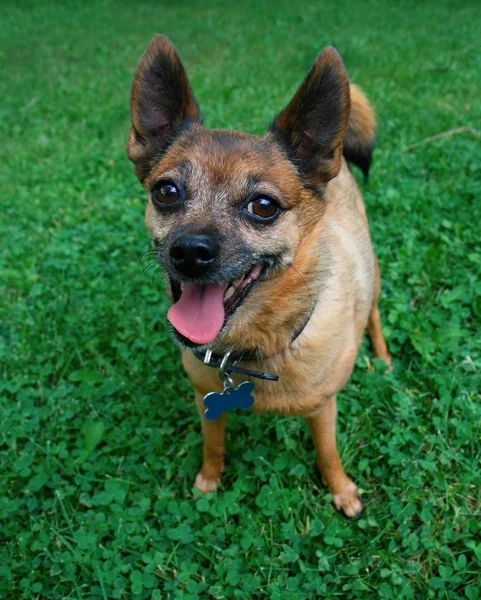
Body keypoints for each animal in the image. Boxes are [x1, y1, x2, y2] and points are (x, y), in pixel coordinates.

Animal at [126, 35, 390, 516]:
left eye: (263, 206)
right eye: (166, 192)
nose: (190, 251)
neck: (248, 353)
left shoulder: (323, 409)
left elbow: (328, 453)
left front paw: (341, 490)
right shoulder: (206, 402)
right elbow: (214, 446)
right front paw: (208, 481)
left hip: (374, 278)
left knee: (375, 315)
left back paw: (382, 358)